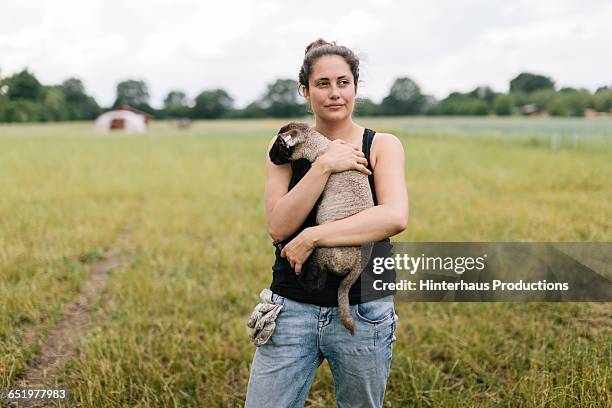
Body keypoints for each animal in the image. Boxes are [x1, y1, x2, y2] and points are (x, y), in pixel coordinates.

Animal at [272, 122, 376, 334]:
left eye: (278, 145)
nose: (270, 157)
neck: (322, 147)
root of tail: (359, 265)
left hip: (324, 251)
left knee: (316, 285)